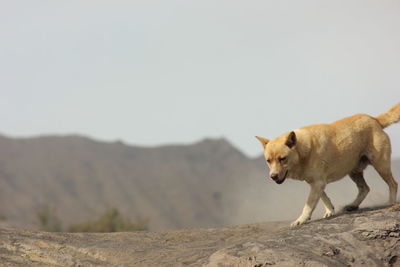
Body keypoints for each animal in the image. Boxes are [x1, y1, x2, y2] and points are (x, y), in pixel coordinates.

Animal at [256, 103, 400, 227]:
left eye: (282, 159)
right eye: (268, 160)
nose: (273, 176)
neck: (303, 152)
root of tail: (374, 119)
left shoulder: (318, 182)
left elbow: (308, 205)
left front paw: (300, 220)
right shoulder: (315, 183)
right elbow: (323, 197)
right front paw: (330, 210)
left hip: (380, 165)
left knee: (393, 183)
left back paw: (390, 203)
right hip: (353, 171)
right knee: (365, 188)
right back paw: (352, 206)